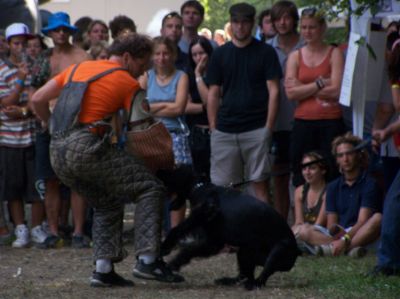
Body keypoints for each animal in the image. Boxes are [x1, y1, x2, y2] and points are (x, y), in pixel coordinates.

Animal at [160, 182, 300, 292]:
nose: (168, 202)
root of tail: (297, 252)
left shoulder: (211, 240)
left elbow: (186, 245)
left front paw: (171, 258)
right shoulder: (213, 241)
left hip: (278, 250)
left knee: (263, 274)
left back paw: (253, 284)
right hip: (246, 251)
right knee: (244, 274)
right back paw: (229, 280)